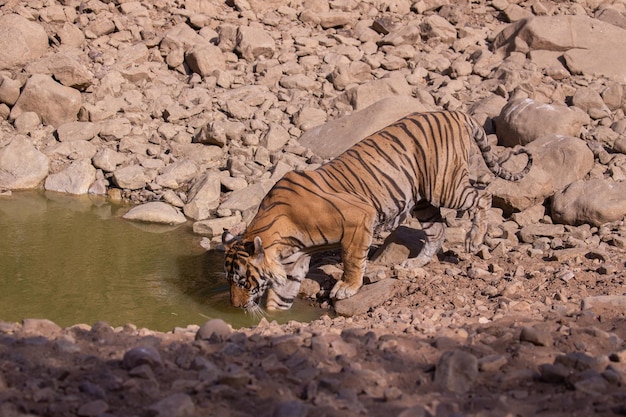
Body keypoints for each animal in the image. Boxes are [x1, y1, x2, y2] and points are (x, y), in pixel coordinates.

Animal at [222, 110, 528, 312]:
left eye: (242, 280)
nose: (235, 306)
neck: (283, 240)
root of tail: (454, 111)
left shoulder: (359, 219)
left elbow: (352, 259)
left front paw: (346, 287)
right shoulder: (294, 264)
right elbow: (281, 297)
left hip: (445, 186)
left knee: (483, 196)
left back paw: (474, 240)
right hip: (424, 202)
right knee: (438, 231)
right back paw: (414, 264)